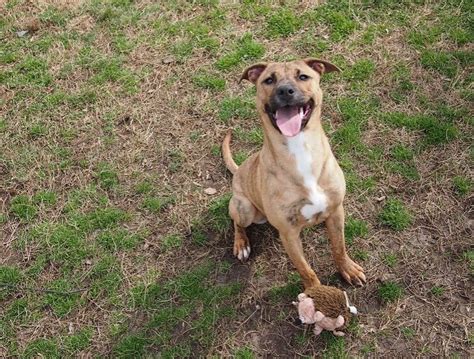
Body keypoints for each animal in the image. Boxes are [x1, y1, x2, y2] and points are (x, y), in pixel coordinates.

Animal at [222, 59, 366, 290]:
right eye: (268, 80)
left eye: (303, 77)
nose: (285, 91)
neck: (299, 148)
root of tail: (240, 169)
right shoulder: (288, 234)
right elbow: (306, 270)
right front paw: (315, 292)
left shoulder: (336, 211)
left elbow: (339, 246)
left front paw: (347, 269)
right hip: (245, 208)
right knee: (236, 221)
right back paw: (241, 243)